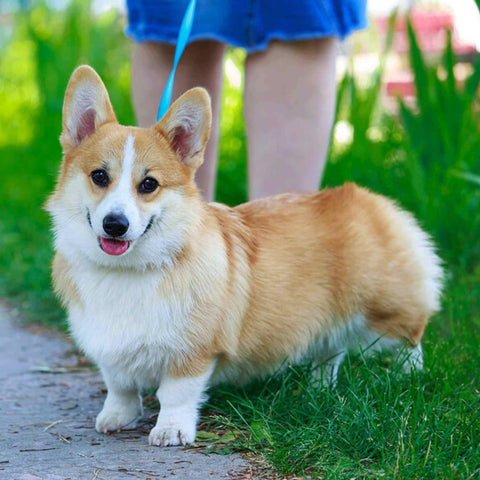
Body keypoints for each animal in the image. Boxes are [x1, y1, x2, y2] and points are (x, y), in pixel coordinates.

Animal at [47, 64, 442, 446]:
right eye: (99, 176)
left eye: (149, 184)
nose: (115, 224)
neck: (126, 271)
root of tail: (368, 199)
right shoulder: (108, 347)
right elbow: (120, 385)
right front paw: (117, 417)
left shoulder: (193, 350)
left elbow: (176, 393)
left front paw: (171, 430)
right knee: (331, 349)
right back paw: (318, 389)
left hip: (384, 311)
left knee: (411, 335)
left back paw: (410, 377)